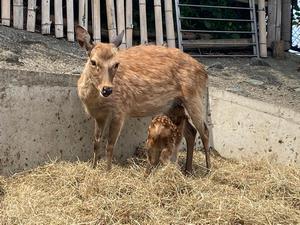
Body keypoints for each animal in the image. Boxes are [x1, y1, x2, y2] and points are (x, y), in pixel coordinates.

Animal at [76, 25, 210, 172]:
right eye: (93, 62)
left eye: (116, 64)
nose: (107, 89)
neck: (95, 102)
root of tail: (204, 72)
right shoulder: (99, 116)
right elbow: (96, 142)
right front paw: (93, 167)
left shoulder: (120, 110)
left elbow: (110, 145)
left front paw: (108, 171)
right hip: (173, 105)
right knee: (191, 131)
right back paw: (188, 169)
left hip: (194, 96)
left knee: (205, 131)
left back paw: (208, 170)